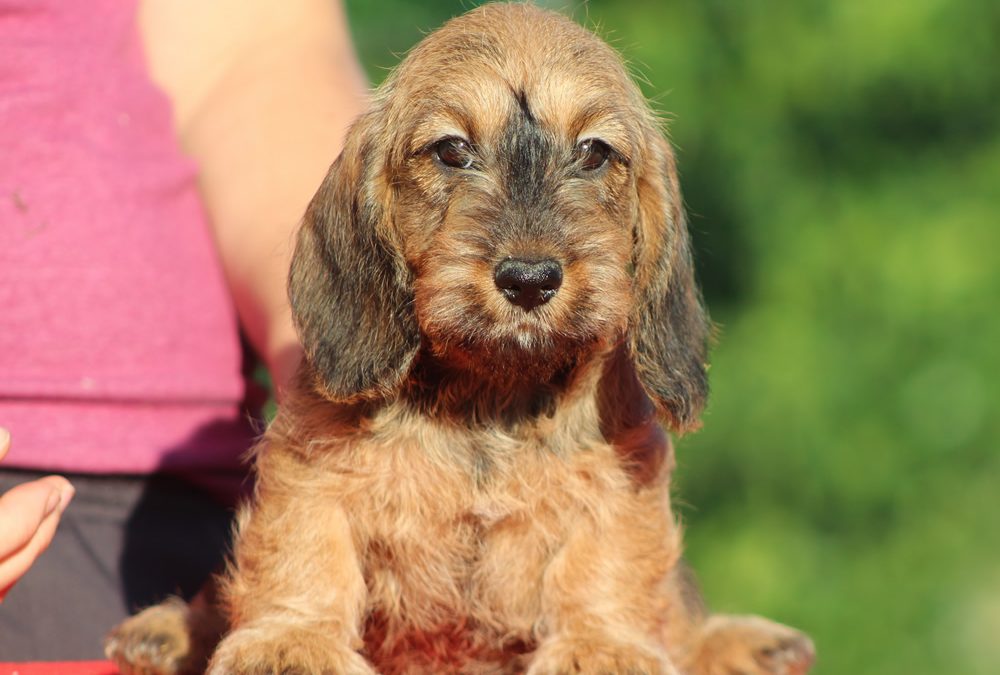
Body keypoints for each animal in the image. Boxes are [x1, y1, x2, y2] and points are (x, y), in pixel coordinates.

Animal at [107, 5, 812, 675]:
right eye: (451, 149)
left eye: (593, 152)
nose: (529, 280)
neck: (489, 395)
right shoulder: (310, 467)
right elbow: (305, 548)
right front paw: (291, 640)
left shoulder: (621, 480)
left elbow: (605, 563)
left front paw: (601, 645)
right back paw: (168, 630)